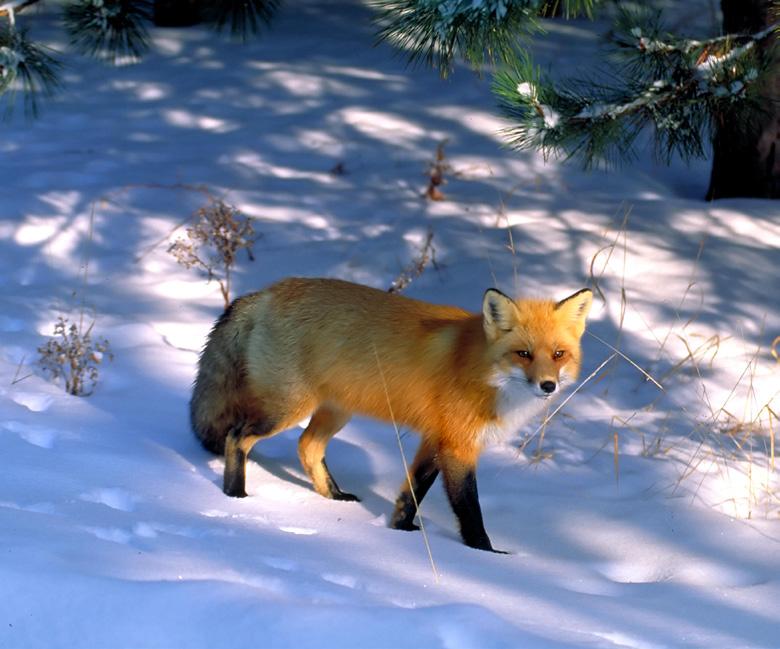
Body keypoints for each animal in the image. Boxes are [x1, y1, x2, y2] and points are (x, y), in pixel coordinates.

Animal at [192, 278, 596, 552]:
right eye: (523, 354)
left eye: (558, 355)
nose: (548, 386)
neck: (482, 370)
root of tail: (267, 291)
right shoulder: (458, 446)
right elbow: (469, 509)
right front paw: (487, 554)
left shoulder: (435, 438)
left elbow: (411, 494)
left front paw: (400, 533)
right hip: (287, 408)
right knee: (237, 437)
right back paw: (236, 496)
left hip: (336, 411)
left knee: (307, 447)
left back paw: (334, 497)